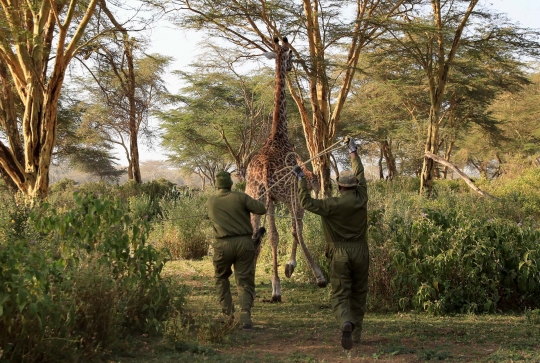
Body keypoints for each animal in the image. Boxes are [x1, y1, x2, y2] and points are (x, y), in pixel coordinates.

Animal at [247, 37, 326, 304]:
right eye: (290, 54)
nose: (292, 66)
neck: (278, 135)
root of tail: (261, 172)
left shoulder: (275, 198)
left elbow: (280, 234)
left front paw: (287, 270)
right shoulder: (294, 193)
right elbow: (295, 231)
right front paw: (298, 269)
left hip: (257, 197)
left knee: (259, 235)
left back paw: (258, 285)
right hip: (285, 196)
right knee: (290, 231)